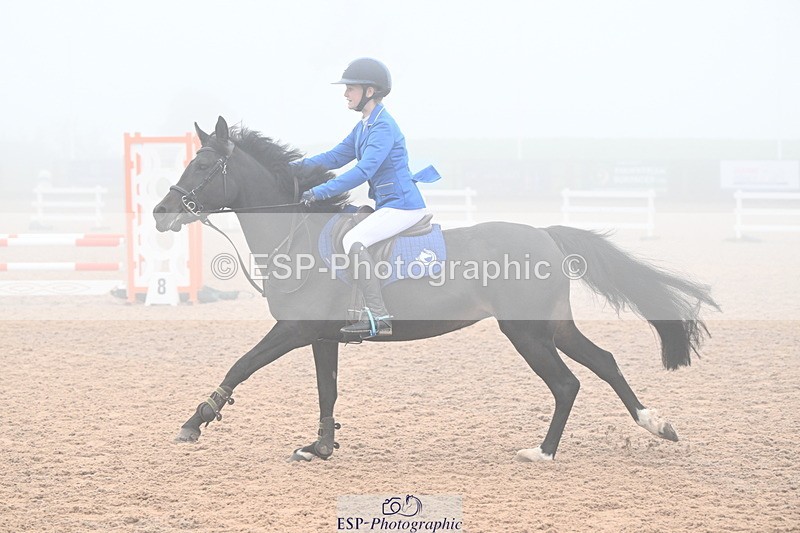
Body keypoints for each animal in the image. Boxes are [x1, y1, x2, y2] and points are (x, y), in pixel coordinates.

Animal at [153, 116, 719, 462]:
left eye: (203, 165)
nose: (161, 212)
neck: (299, 234)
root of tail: (546, 234)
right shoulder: (323, 336)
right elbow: (326, 390)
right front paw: (321, 448)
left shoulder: (294, 329)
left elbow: (240, 365)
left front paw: (195, 421)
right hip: (552, 326)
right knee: (603, 362)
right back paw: (655, 424)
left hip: (527, 331)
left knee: (566, 383)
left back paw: (543, 452)